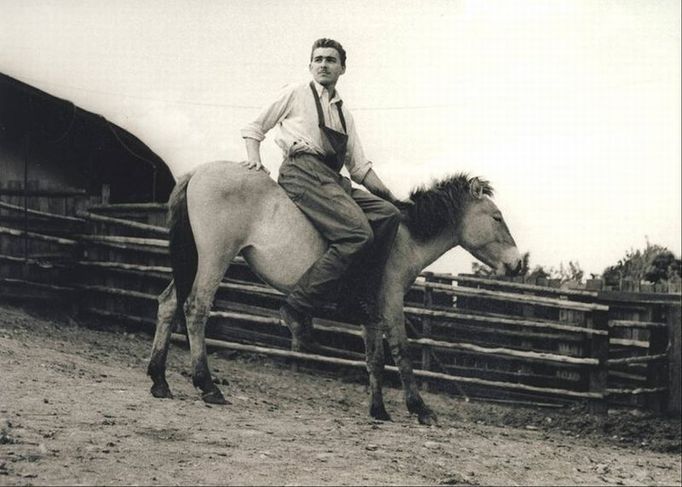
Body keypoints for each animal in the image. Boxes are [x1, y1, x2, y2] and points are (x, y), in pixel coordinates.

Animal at [147, 159, 520, 424]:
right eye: (497, 217)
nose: (516, 264)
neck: (403, 237)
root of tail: (198, 172)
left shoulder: (371, 314)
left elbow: (374, 359)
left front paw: (379, 410)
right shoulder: (391, 304)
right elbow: (402, 353)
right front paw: (420, 409)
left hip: (192, 260)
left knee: (168, 304)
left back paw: (159, 381)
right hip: (215, 257)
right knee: (196, 309)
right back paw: (206, 386)